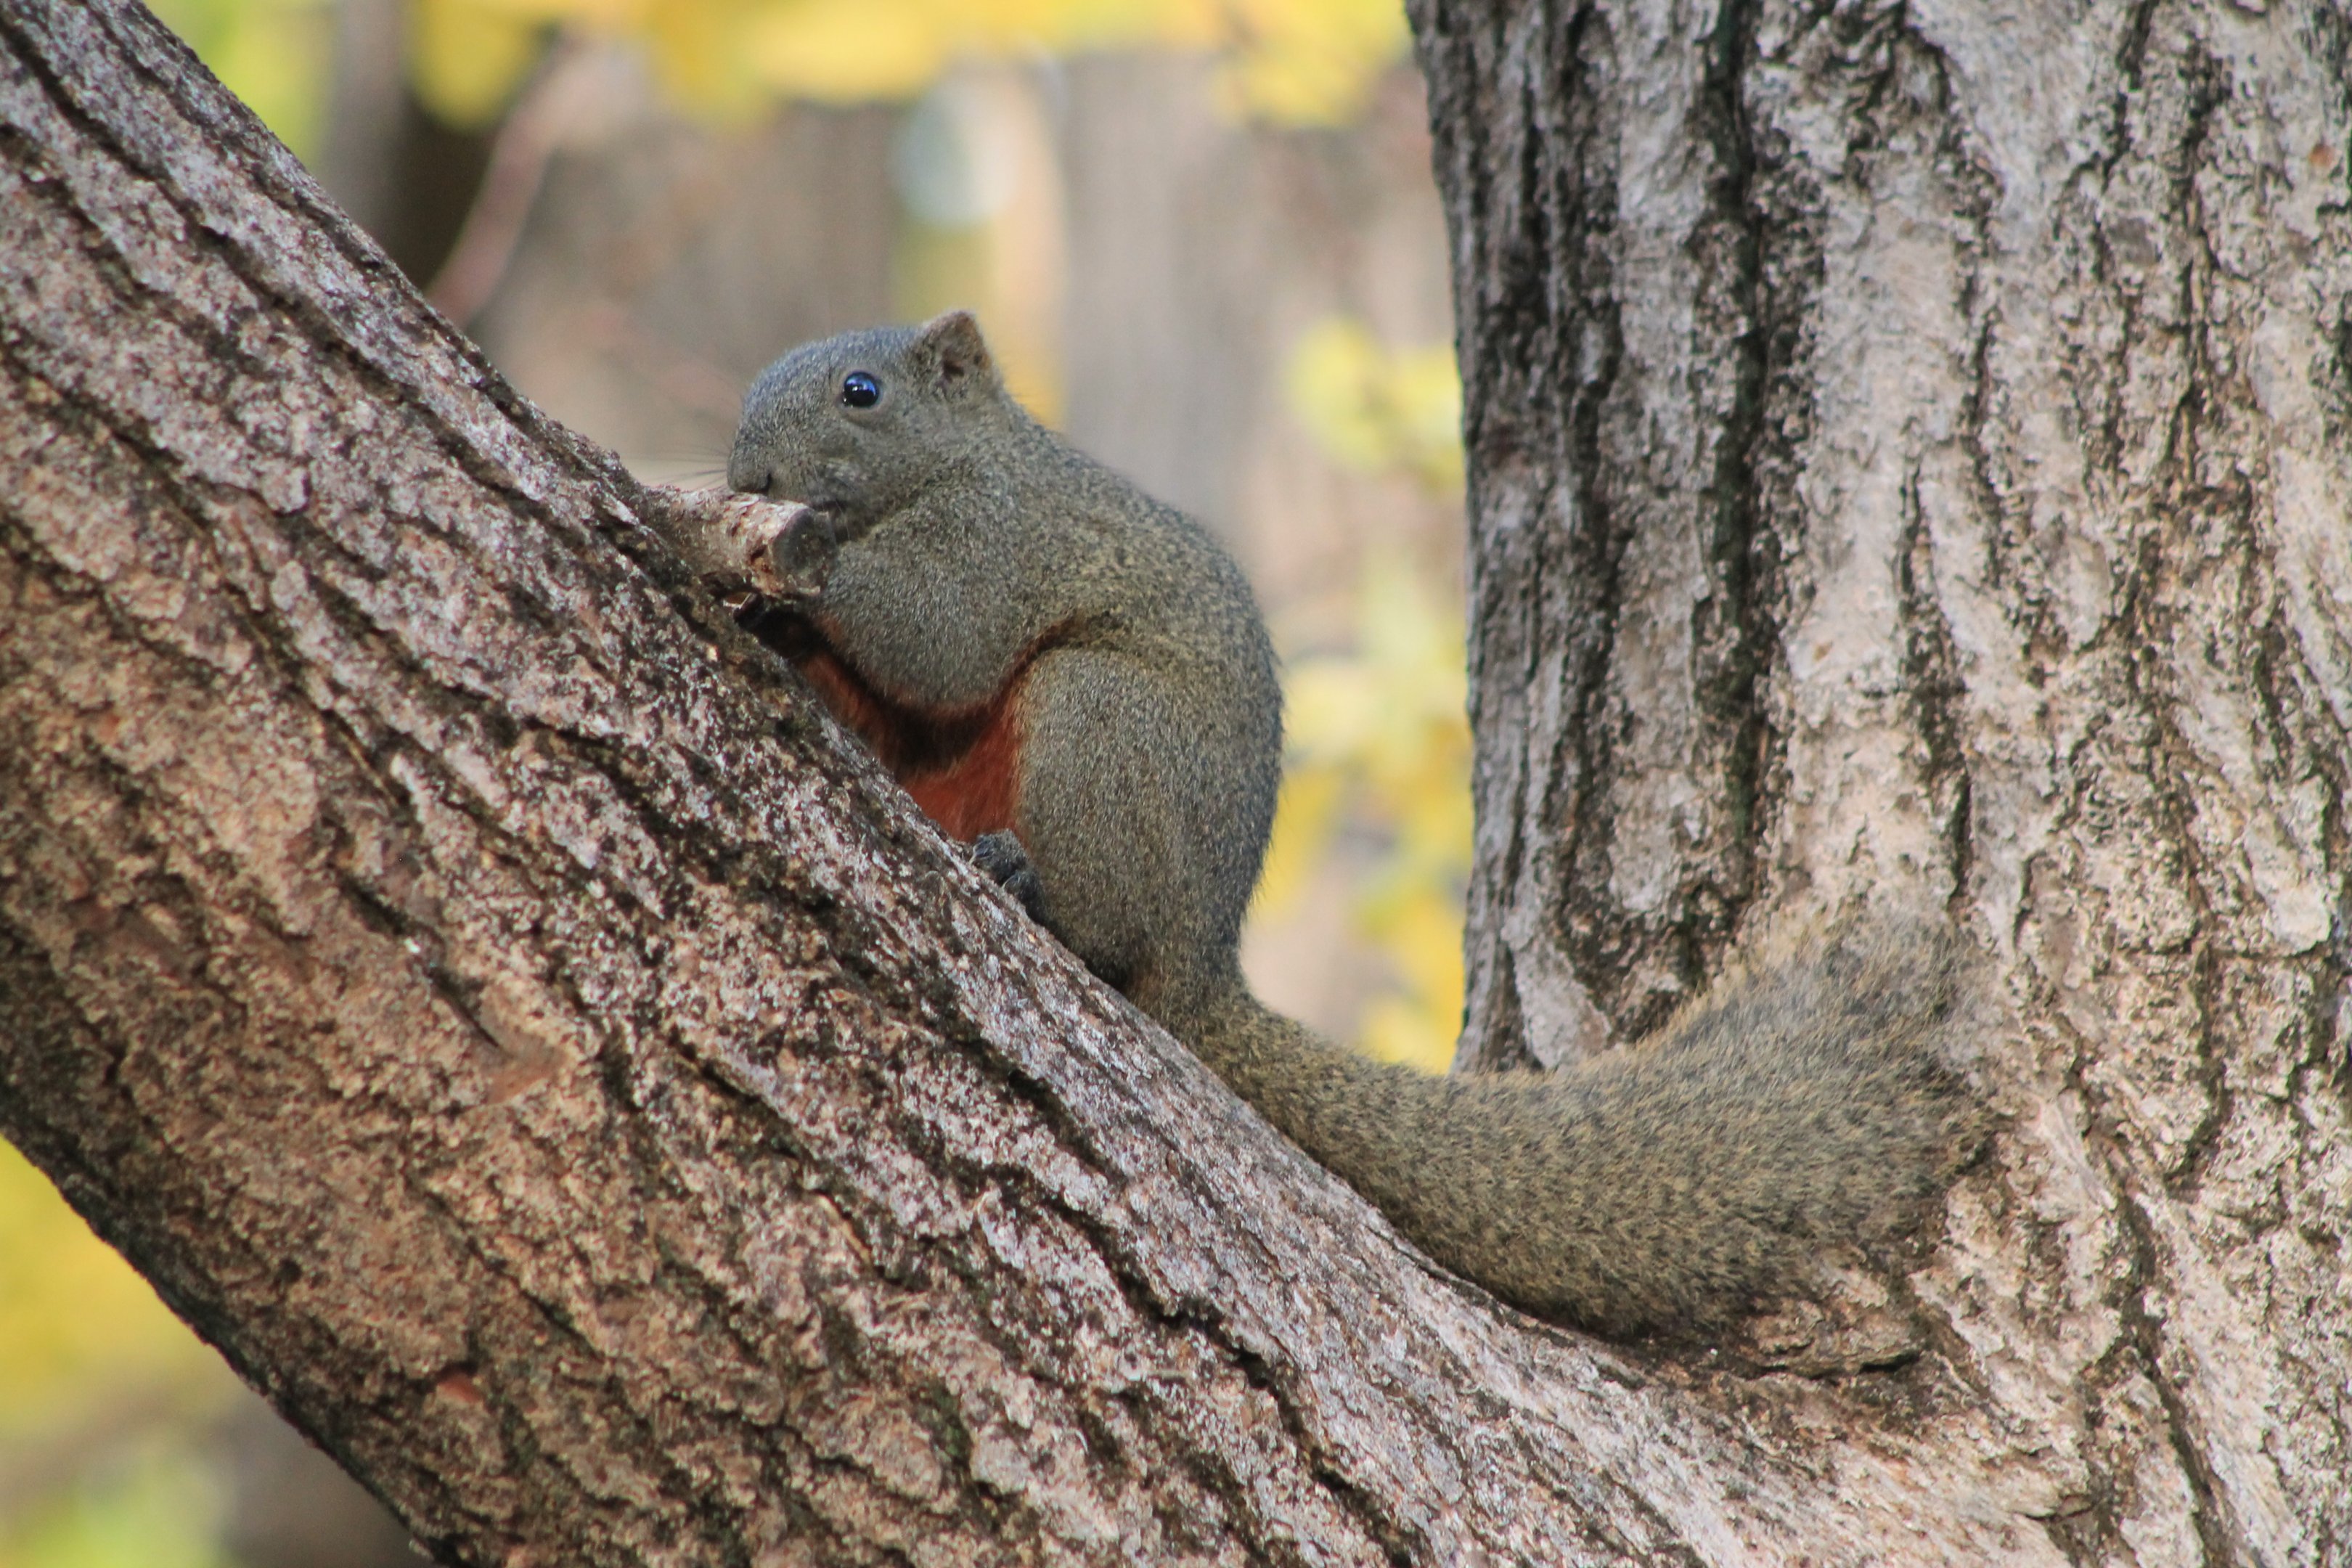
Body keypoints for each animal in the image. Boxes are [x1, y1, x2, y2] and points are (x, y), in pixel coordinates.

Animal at [710, 309, 1977, 1338]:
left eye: (863, 391)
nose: (745, 471)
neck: (964, 462)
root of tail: (1203, 962)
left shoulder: (998, 543)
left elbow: (940, 642)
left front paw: (790, 559)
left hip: (1102, 725)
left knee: (1106, 913)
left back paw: (1040, 893)